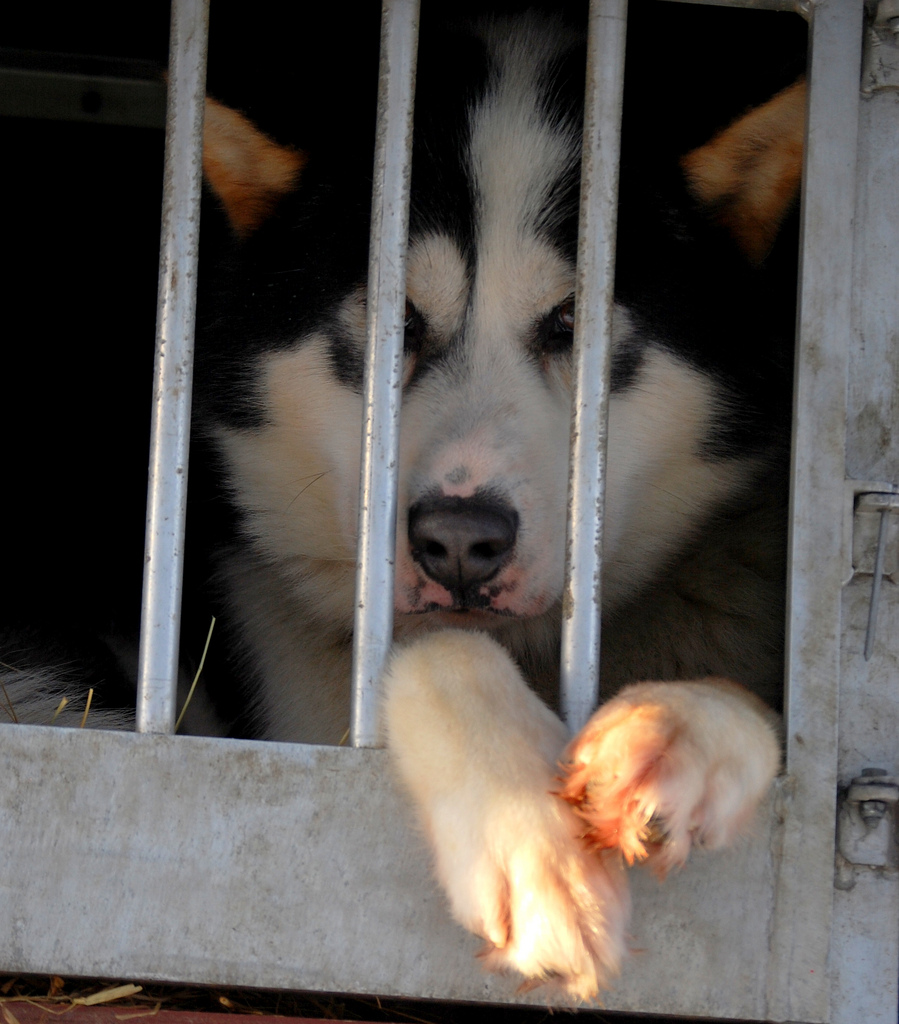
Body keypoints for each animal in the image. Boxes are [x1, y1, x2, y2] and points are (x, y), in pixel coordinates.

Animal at [5, 6, 810, 999]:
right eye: (397, 323)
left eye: (570, 324)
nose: (458, 540)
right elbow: (432, 652)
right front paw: (527, 830)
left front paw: (676, 730)